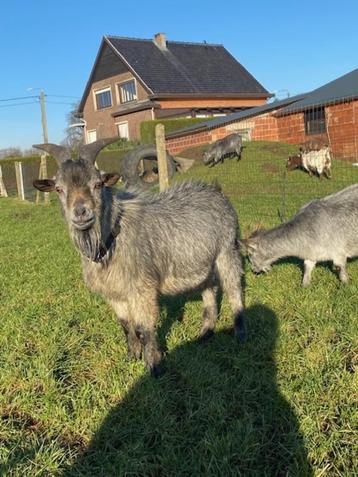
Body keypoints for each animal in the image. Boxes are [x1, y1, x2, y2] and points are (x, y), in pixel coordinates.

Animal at [33, 138, 246, 376]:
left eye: (98, 184)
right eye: (59, 189)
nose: (80, 212)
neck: (112, 237)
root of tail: (215, 190)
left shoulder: (142, 289)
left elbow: (144, 329)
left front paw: (154, 367)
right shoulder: (115, 294)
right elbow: (127, 326)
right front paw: (131, 357)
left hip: (227, 251)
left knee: (234, 291)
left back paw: (240, 334)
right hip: (203, 265)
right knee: (209, 292)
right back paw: (205, 334)